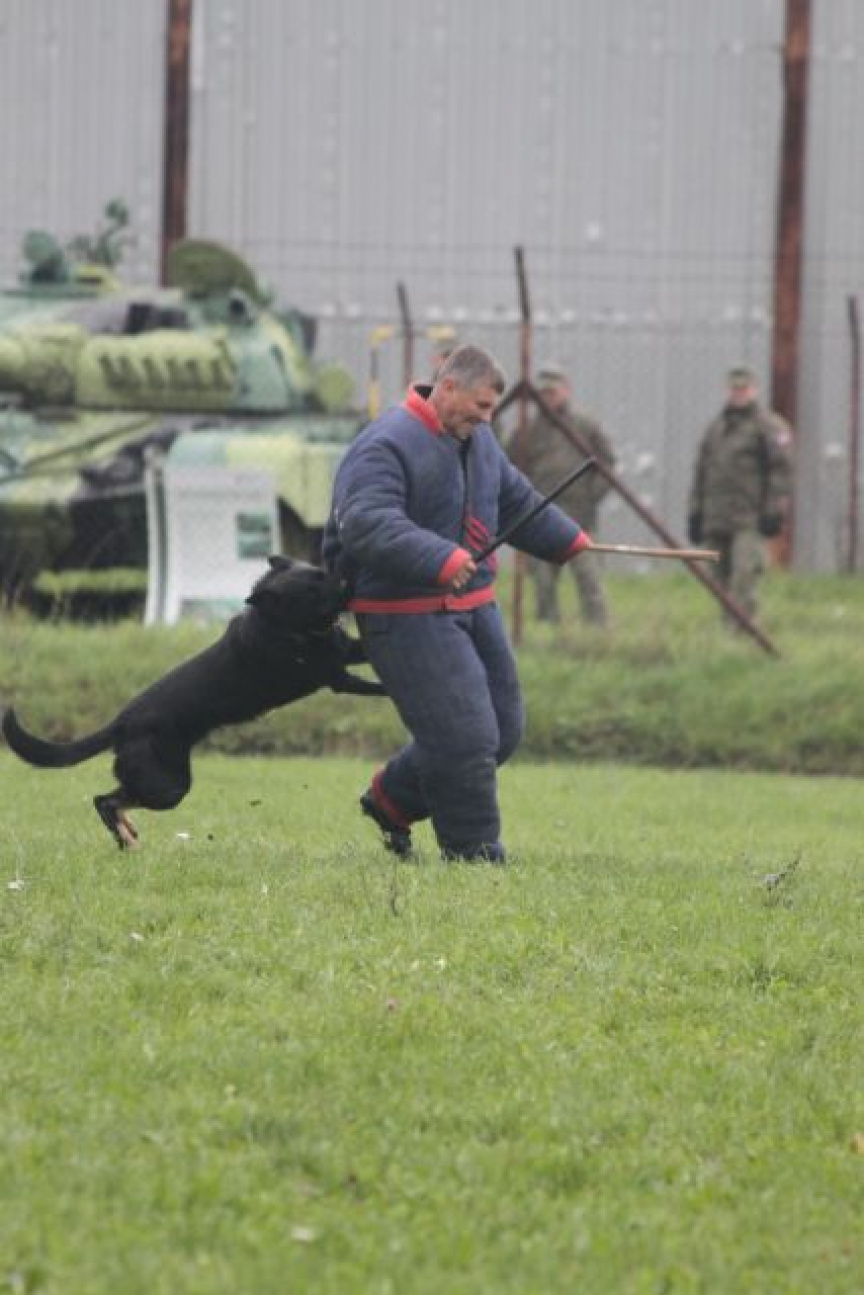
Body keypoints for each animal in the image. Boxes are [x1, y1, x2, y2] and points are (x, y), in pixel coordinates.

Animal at [2, 556, 385, 848]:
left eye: (322, 573)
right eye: (311, 590)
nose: (350, 585)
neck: (281, 626)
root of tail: (121, 722)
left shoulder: (347, 653)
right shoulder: (337, 678)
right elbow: (379, 687)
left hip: (159, 780)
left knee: (109, 798)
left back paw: (128, 836)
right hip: (169, 785)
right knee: (105, 800)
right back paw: (125, 836)